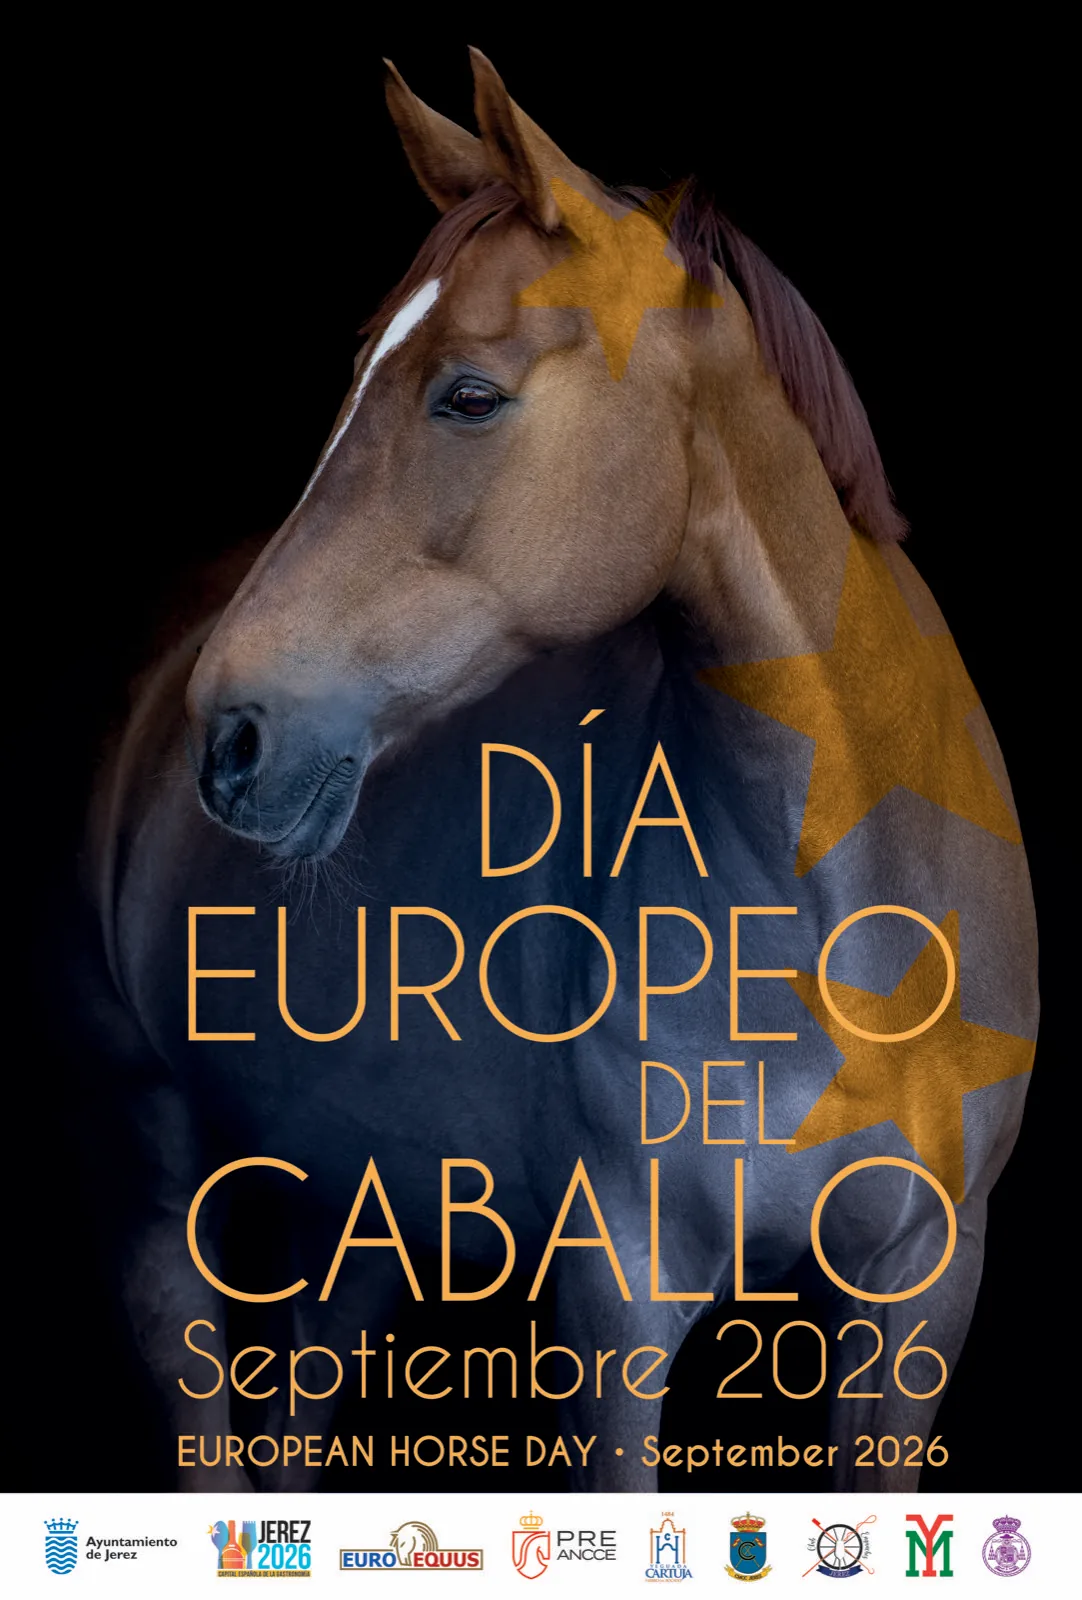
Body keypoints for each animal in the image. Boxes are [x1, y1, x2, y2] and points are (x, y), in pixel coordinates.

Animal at [83, 48, 1037, 1495]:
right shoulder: (620, 1297)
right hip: (158, 1158)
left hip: (357, 1193)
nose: (233, 738)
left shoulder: (920, 1288)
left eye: (468, 394)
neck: (842, 932)